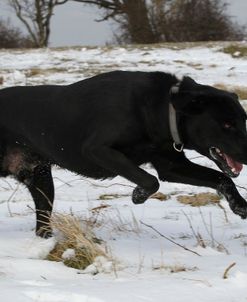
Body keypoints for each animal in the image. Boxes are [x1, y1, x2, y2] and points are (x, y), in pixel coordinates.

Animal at [0, 71, 247, 238]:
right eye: (226, 124)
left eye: (243, 120)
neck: (157, 108)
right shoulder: (98, 150)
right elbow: (150, 180)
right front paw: (138, 195)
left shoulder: (171, 166)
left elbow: (222, 178)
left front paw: (241, 206)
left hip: (41, 179)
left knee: (42, 221)